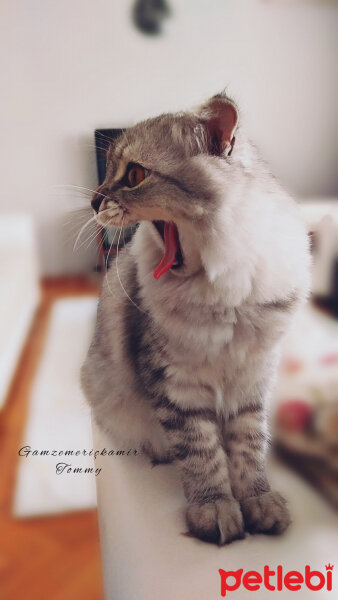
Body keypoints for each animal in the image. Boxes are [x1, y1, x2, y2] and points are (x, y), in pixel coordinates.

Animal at [80, 92, 310, 544]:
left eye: (134, 174)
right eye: (108, 172)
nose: (94, 200)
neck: (225, 293)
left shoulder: (253, 375)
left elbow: (248, 447)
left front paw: (258, 502)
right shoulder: (175, 384)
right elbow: (202, 453)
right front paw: (215, 510)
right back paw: (159, 452)